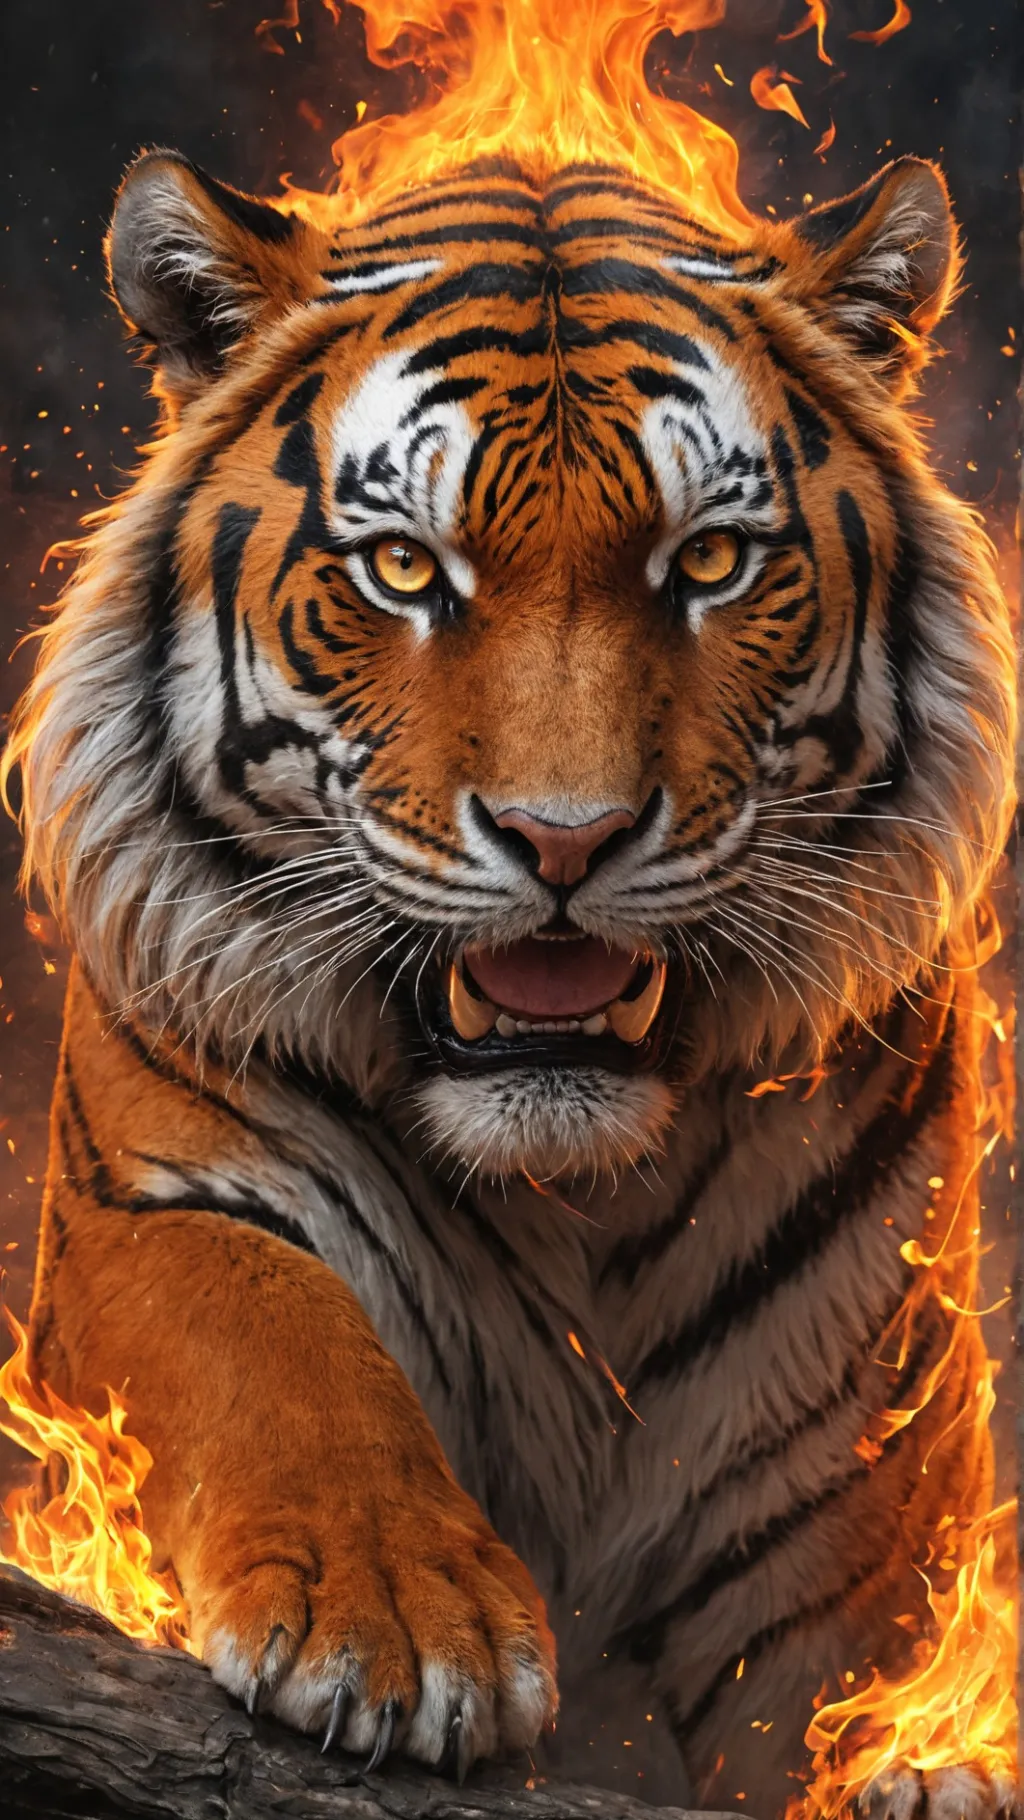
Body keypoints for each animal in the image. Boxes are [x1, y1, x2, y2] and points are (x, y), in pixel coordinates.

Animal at [2, 143, 1015, 1818]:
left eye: (710, 561)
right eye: (407, 568)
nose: (567, 839)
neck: (573, 1182)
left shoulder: (847, 1452)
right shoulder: (160, 1196)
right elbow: (281, 1345)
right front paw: (401, 1626)